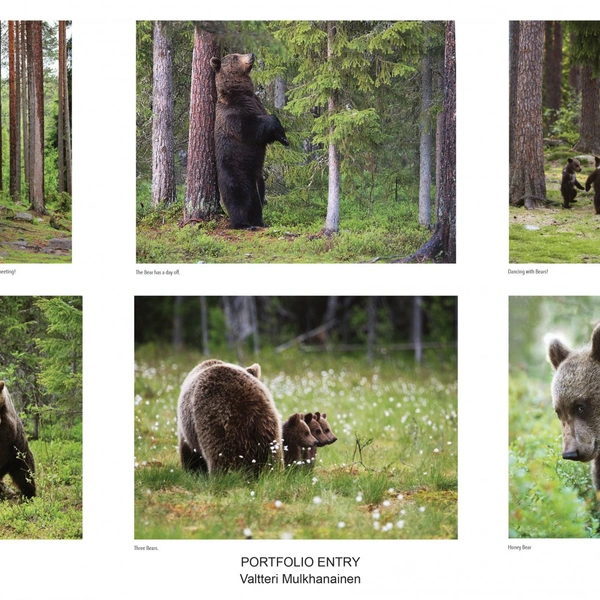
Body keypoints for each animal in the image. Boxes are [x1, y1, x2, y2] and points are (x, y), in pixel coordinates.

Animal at [210, 53, 290, 230]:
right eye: (235, 56)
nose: (251, 55)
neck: (240, 92)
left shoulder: (256, 102)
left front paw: (283, 138)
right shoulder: (232, 115)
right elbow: (251, 127)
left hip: (258, 179)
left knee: (257, 199)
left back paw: (259, 221)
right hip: (235, 172)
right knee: (237, 197)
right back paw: (242, 223)